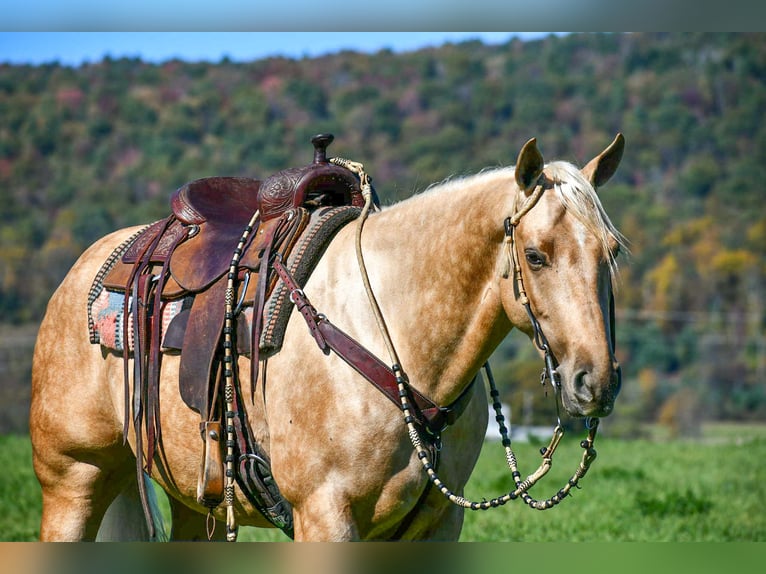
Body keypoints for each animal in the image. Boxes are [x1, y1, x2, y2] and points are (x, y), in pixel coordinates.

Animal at [30, 134, 626, 541]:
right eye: (535, 256)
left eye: (613, 252)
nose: (593, 381)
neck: (393, 336)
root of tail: (87, 269)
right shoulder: (325, 515)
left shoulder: (437, 525)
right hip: (73, 480)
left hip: (190, 498)